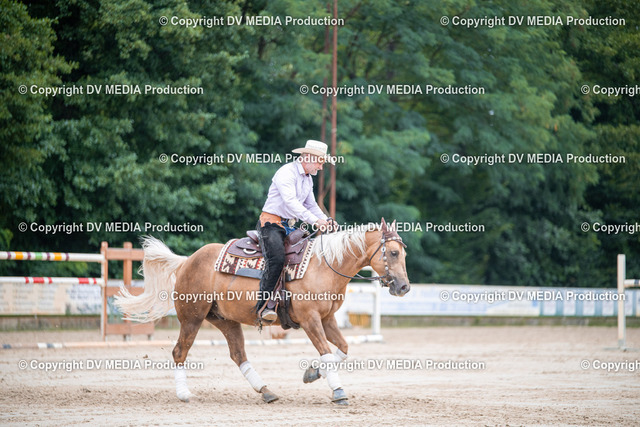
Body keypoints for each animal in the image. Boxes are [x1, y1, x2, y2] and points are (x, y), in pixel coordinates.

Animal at [114, 218, 410, 405]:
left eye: (403, 253)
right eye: (394, 253)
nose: (404, 287)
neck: (325, 266)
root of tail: (188, 260)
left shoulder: (327, 318)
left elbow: (343, 349)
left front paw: (312, 373)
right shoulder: (311, 320)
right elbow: (326, 352)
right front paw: (338, 391)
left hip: (225, 320)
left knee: (238, 354)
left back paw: (266, 391)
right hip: (192, 318)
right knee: (180, 352)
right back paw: (184, 394)